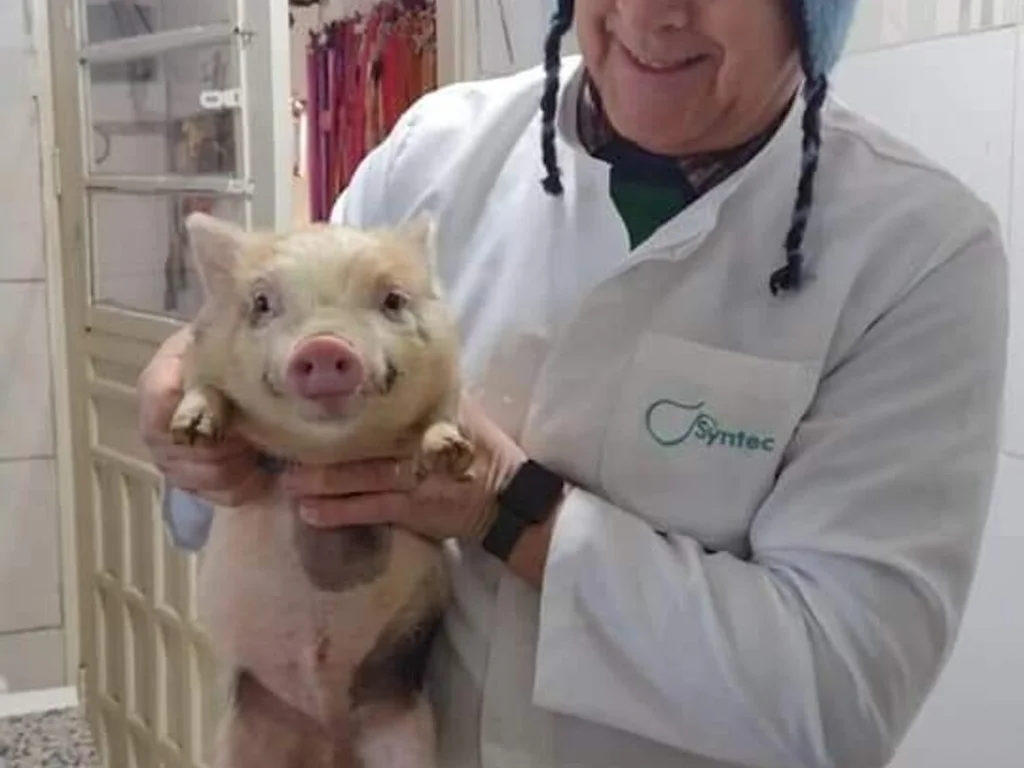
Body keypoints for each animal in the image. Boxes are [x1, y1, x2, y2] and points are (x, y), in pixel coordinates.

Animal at [167, 211, 474, 768]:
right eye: (261, 303)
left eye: (393, 299)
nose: (326, 346)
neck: (326, 450)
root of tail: (332, 738)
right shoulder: (196, 358)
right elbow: (204, 389)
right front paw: (193, 431)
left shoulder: (451, 374)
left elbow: (442, 417)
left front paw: (451, 454)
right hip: (246, 730)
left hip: (404, 725)